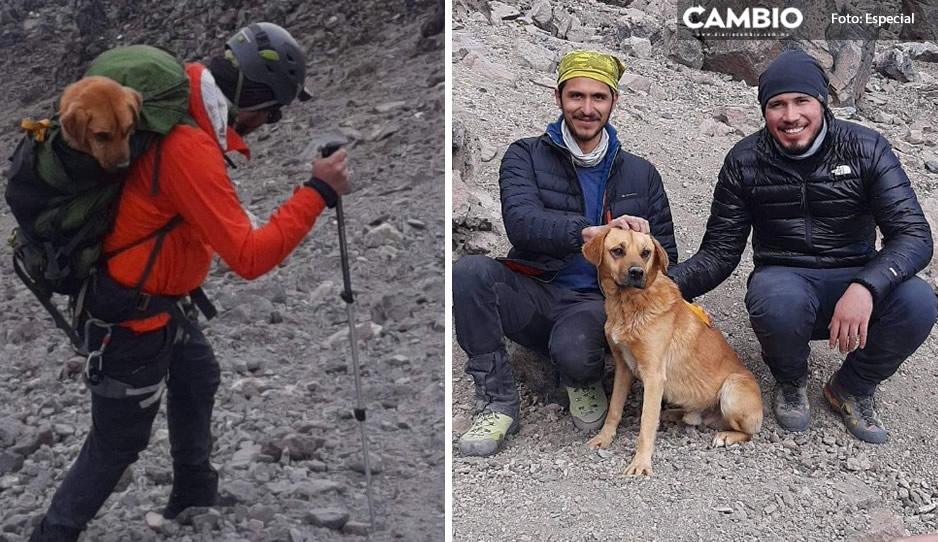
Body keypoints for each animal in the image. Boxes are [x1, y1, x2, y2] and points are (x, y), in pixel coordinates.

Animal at [580, 227, 764, 478]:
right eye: (617, 251)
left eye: (646, 253)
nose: (637, 273)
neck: (628, 305)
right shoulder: (623, 368)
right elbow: (614, 410)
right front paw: (604, 438)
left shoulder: (654, 376)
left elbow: (646, 424)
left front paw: (641, 463)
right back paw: (673, 414)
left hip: (732, 388)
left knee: (748, 433)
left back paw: (726, 436)